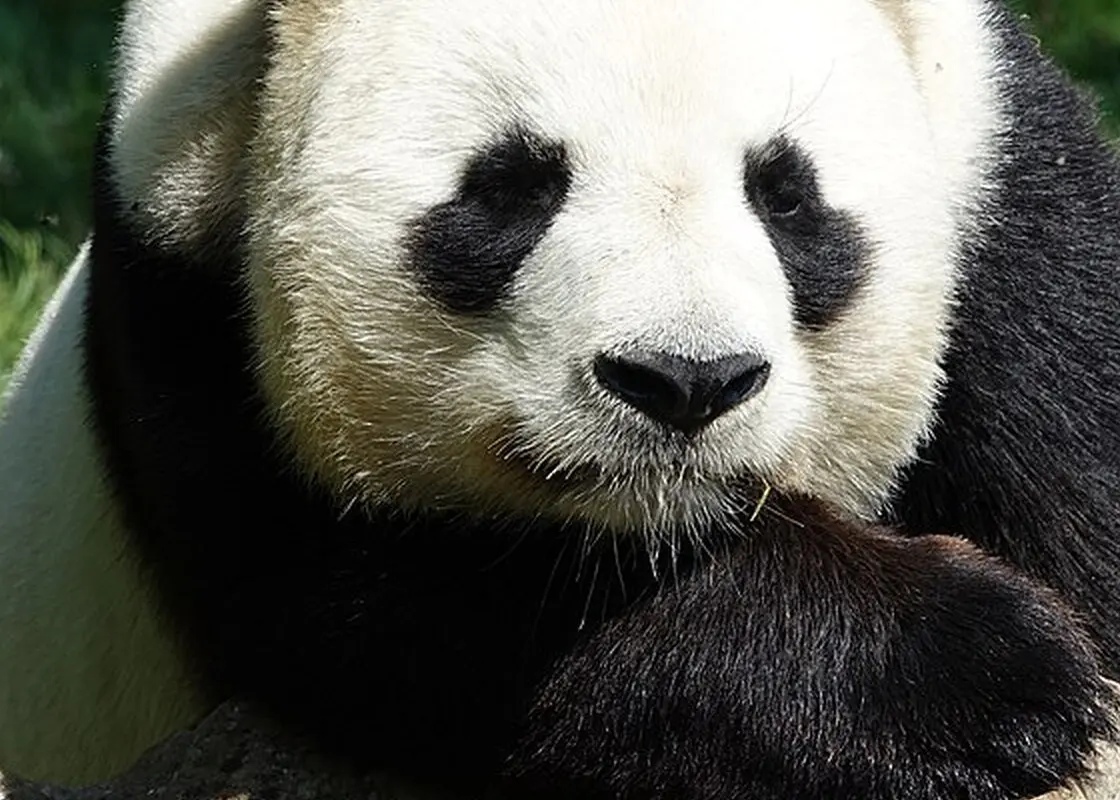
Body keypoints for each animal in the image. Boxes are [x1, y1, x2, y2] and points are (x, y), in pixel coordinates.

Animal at [2, 0, 1120, 797]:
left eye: (785, 193)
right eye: (513, 185)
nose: (685, 381)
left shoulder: (1010, 188)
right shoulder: (184, 291)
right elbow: (409, 606)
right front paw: (981, 670)